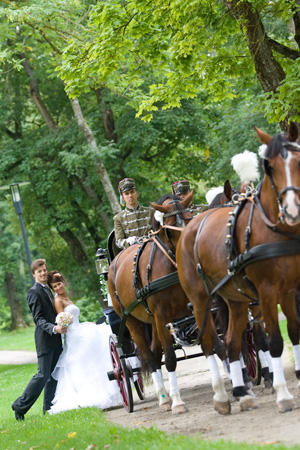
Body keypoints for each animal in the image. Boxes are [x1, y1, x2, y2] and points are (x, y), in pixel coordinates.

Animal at [106, 192, 200, 414]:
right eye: (170, 226)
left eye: (189, 217)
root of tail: (114, 264)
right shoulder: (162, 315)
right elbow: (171, 359)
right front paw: (177, 402)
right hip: (133, 322)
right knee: (149, 356)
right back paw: (163, 398)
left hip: (153, 321)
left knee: (156, 353)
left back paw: (164, 395)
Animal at [177, 123, 300, 414]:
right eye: (270, 167)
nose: (292, 208)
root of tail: (188, 229)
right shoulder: (267, 292)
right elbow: (274, 340)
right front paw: (283, 394)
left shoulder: (289, 290)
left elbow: (293, 333)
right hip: (201, 301)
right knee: (210, 343)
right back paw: (221, 396)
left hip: (236, 300)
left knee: (232, 341)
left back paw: (243, 393)